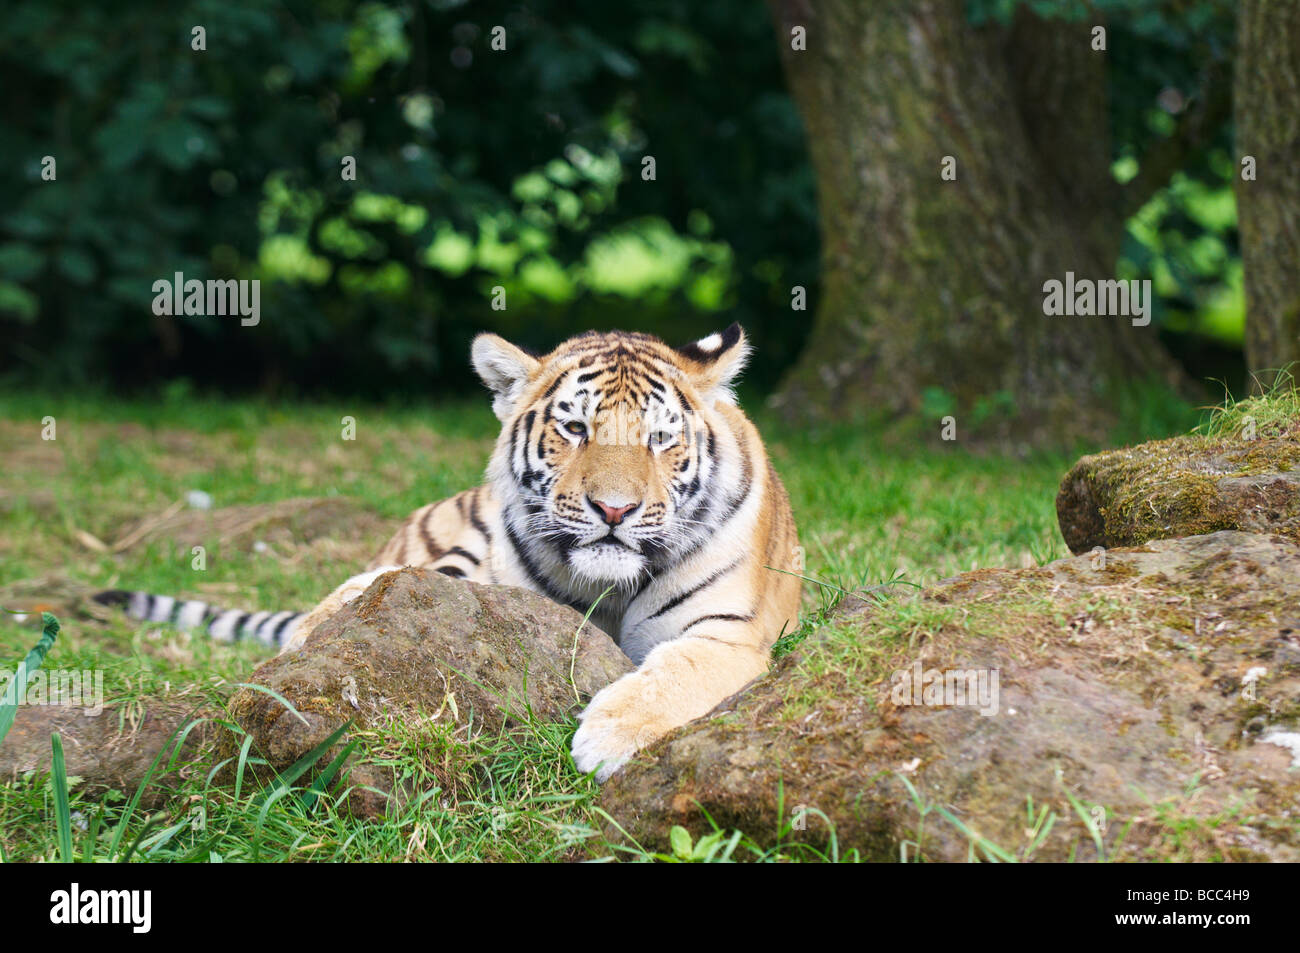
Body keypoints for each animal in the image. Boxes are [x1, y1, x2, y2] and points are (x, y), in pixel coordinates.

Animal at [98, 324, 803, 780]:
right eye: (575, 428)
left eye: (660, 439)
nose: (614, 511)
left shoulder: (726, 635)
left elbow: (677, 671)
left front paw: (605, 737)